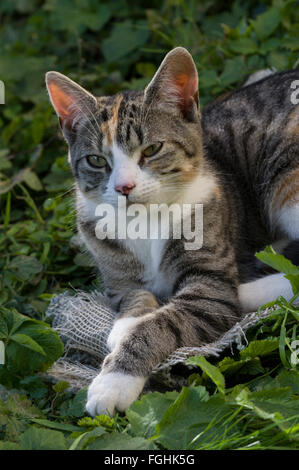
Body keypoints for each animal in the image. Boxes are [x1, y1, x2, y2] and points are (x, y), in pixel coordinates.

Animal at [45, 46, 298, 414]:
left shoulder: (210, 286)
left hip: (286, 178)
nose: (123, 186)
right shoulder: (113, 269)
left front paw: (113, 382)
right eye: (96, 160)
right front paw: (126, 323)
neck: (146, 218)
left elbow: (166, 322)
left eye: (151, 150)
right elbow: (132, 295)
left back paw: (250, 291)